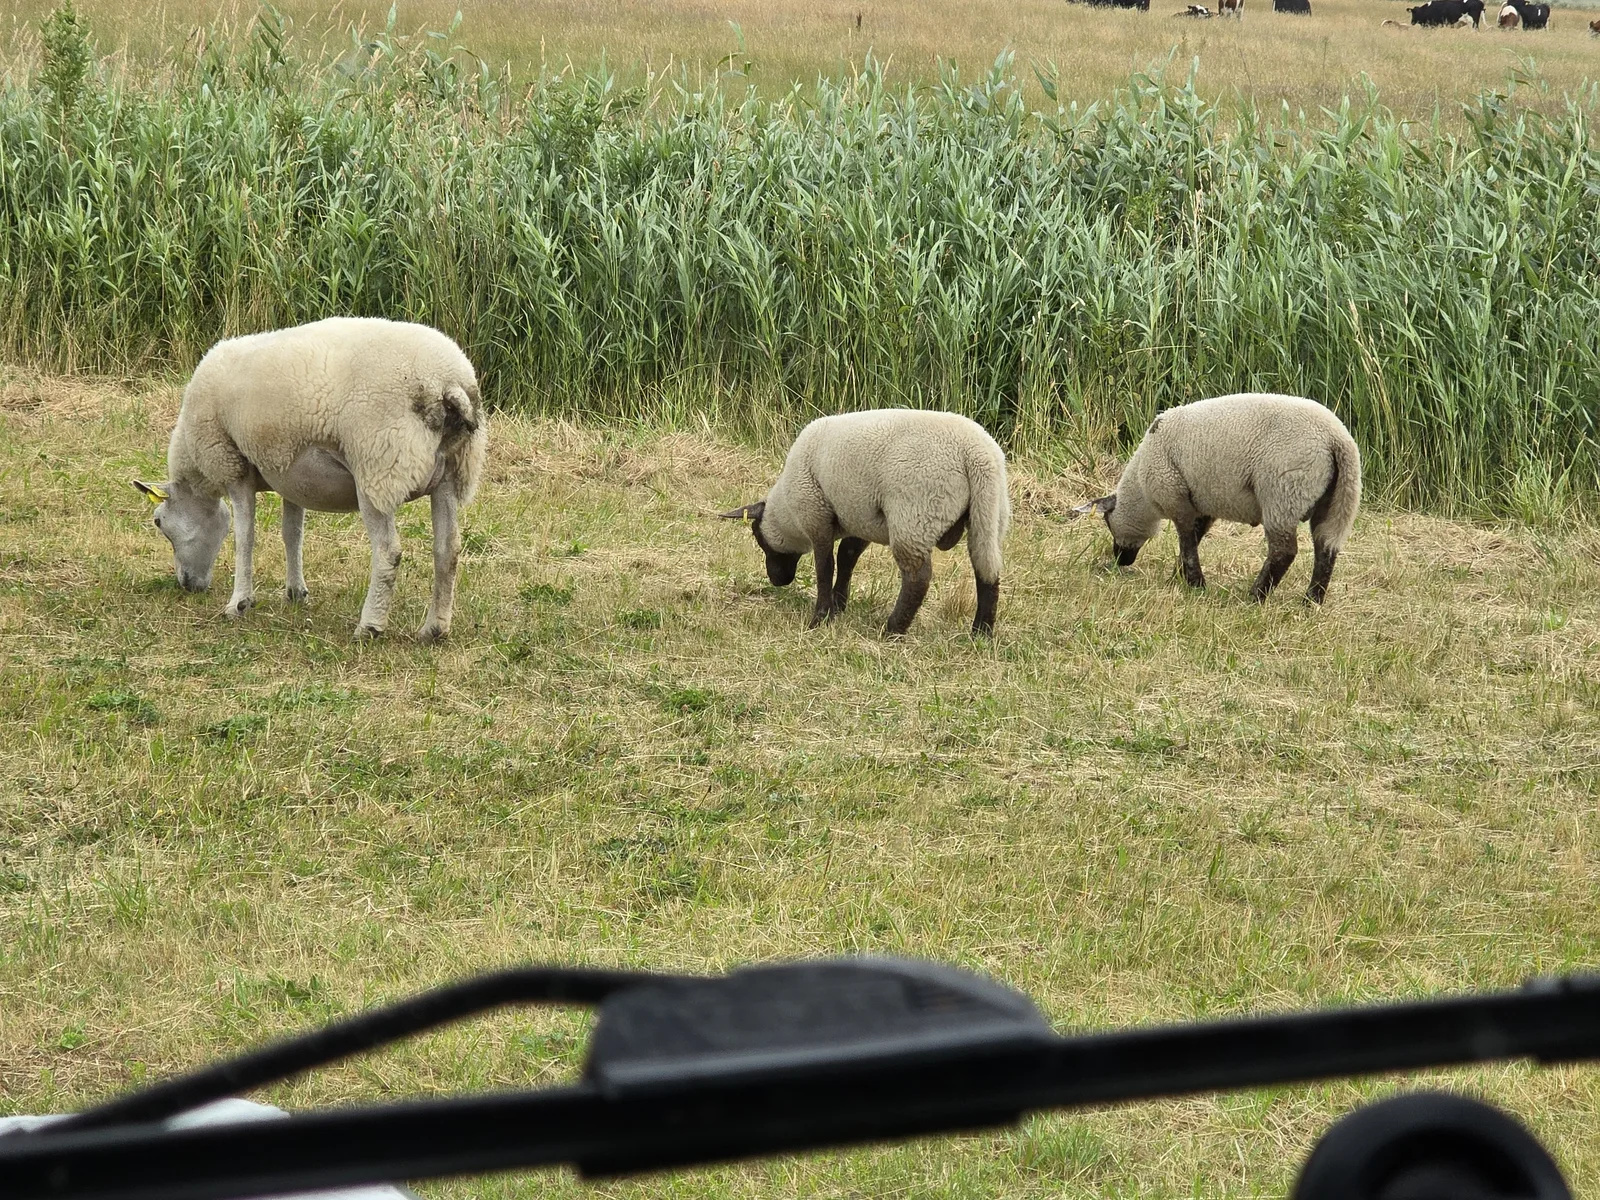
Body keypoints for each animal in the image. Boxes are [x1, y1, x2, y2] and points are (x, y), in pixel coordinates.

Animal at [133, 317, 487, 641]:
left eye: (158, 521)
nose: (186, 585)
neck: (198, 477)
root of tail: (448, 382)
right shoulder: (291, 473)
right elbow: (292, 534)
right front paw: (295, 592)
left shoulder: (233, 465)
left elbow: (244, 538)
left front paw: (239, 603)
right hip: (453, 471)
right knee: (447, 550)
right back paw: (434, 629)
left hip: (377, 466)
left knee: (389, 552)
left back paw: (370, 626)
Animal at [720, 409, 1010, 636]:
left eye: (759, 539)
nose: (777, 581)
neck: (787, 511)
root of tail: (978, 455)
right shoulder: (860, 517)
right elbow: (847, 557)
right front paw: (838, 606)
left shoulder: (816, 515)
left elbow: (825, 567)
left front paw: (820, 617)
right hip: (989, 515)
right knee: (987, 570)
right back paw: (981, 633)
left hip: (916, 515)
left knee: (917, 578)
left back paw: (893, 630)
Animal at [1070, 392, 1361, 604]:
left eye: (1108, 523)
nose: (1121, 560)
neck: (1141, 489)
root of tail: (1338, 439)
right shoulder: (1201, 503)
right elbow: (1194, 539)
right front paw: (1179, 577)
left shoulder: (1174, 495)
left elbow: (1187, 542)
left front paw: (1196, 584)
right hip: (1335, 497)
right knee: (1326, 548)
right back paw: (1311, 601)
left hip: (1284, 491)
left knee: (1284, 551)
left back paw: (1256, 596)